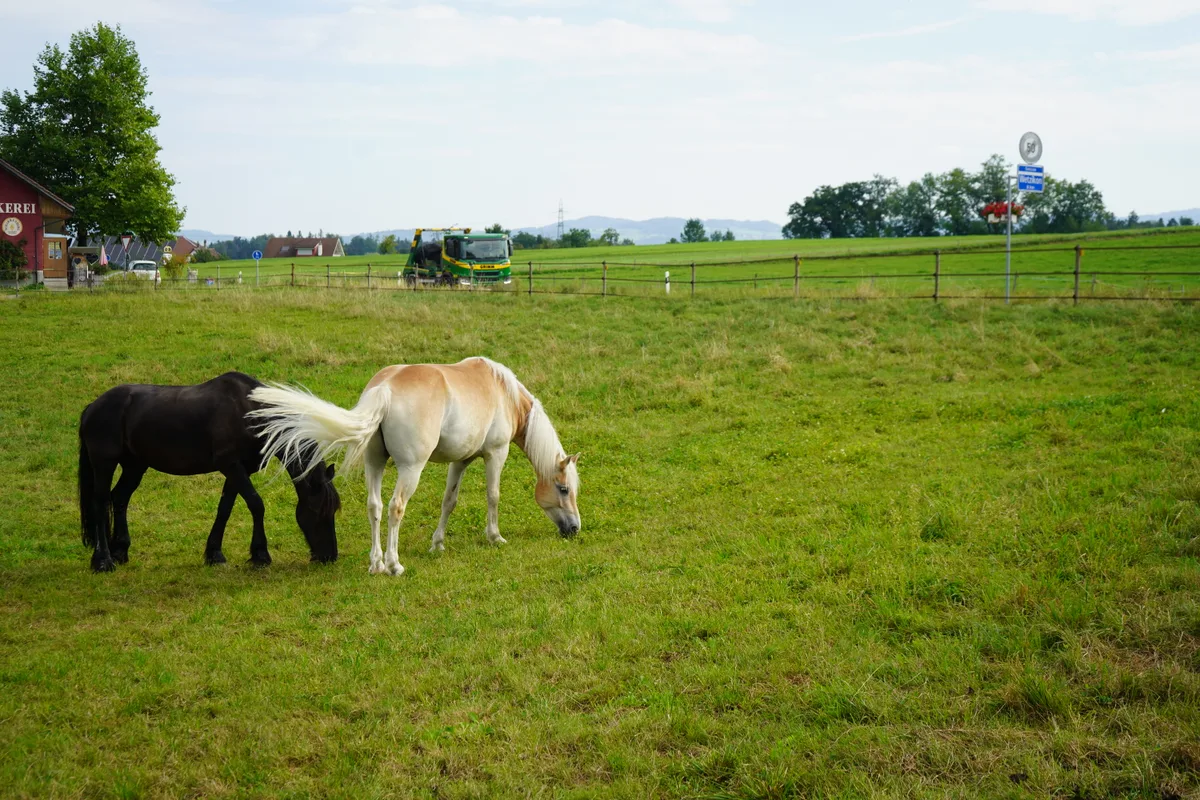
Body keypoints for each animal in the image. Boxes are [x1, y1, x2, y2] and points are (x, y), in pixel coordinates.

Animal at [78, 371, 340, 573]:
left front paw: (215, 554)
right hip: (104, 463)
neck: (249, 412)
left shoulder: (239, 470)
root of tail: (92, 407)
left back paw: (120, 550)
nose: (329, 556)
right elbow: (256, 504)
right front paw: (260, 555)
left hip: (135, 465)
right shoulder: (231, 465)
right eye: (317, 511)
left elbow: (225, 508)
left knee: (120, 498)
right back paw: (103, 561)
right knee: (100, 503)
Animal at [248, 357, 581, 576]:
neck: (503, 393)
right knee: (395, 507)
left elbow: (449, 501)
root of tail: (385, 388)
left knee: (374, 506)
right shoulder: (495, 454)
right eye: (563, 489)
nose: (575, 529)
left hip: (375, 463)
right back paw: (393, 564)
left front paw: (437, 544)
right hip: (410, 469)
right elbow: (493, 496)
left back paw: (376, 563)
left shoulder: (460, 461)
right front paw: (495, 537)